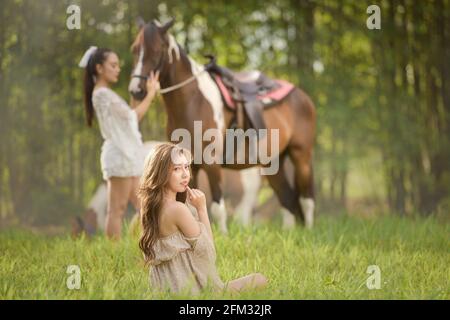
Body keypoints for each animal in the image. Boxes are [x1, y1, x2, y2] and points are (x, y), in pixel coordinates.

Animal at [126, 18, 316, 232]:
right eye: (135, 49)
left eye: (157, 50)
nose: (136, 90)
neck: (194, 101)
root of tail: (302, 96)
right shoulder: (188, 166)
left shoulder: (212, 163)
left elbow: (217, 208)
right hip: (273, 163)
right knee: (288, 199)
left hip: (301, 156)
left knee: (307, 199)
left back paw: (309, 231)